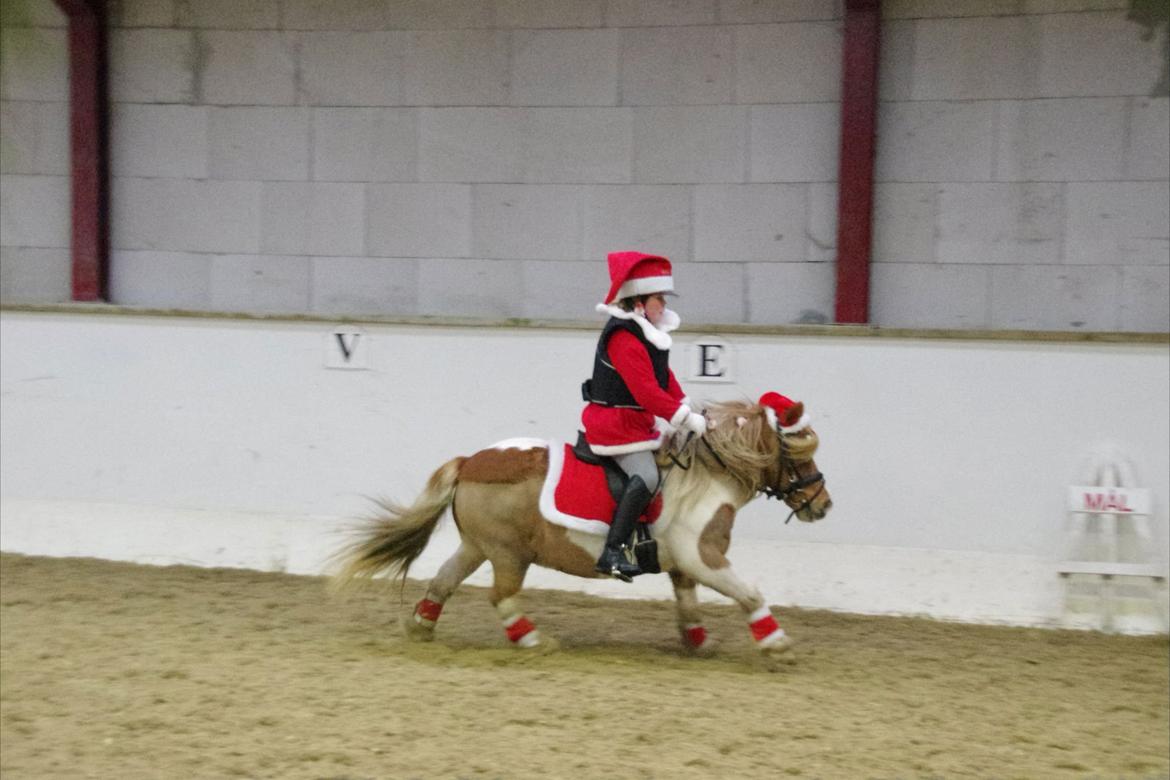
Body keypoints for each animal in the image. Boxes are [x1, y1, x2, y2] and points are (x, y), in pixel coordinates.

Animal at [332, 397, 833, 659]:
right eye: (799, 453)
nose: (822, 505)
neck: (706, 478)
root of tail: (470, 462)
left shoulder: (683, 564)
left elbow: (688, 603)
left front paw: (698, 641)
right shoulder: (702, 557)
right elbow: (748, 592)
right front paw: (777, 643)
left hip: (478, 545)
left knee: (443, 580)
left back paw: (422, 627)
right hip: (509, 553)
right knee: (501, 596)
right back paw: (533, 639)